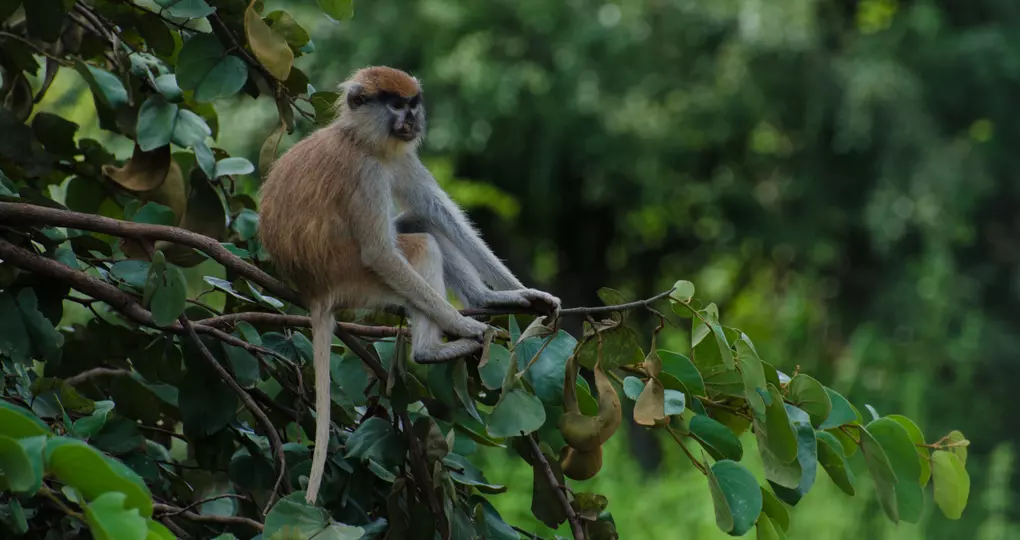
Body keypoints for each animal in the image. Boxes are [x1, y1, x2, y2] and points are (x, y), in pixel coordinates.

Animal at [257, 66, 560, 504]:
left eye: (413, 103)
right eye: (396, 105)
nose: (412, 119)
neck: (360, 136)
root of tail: (314, 289)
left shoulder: (397, 154)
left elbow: (435, 209)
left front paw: (520, 293)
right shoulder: (365, 172)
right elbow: (381, 252)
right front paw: (465, 325)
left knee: (421, 222)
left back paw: (485, 299)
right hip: (355, 281)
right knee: (419, 245)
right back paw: (430, 350)